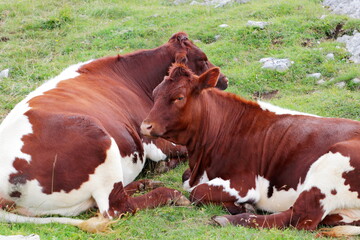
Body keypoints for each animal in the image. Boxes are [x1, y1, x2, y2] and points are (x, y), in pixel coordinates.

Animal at [0, 32, 228, 232]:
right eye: (203, 59)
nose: (224, 80)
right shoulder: (152, 138)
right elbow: (186, 149)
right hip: (100, 138)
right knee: (119, 208)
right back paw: (168, 193)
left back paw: (145, 183)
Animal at [141, 62, 360, 237]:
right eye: (154, 94)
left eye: (179, 97)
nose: (145, 126)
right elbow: (186, 179)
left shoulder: (243, 184)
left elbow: (197, 193)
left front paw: (243, 205)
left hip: (328, 169)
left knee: (299, 218)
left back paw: (229, 219)